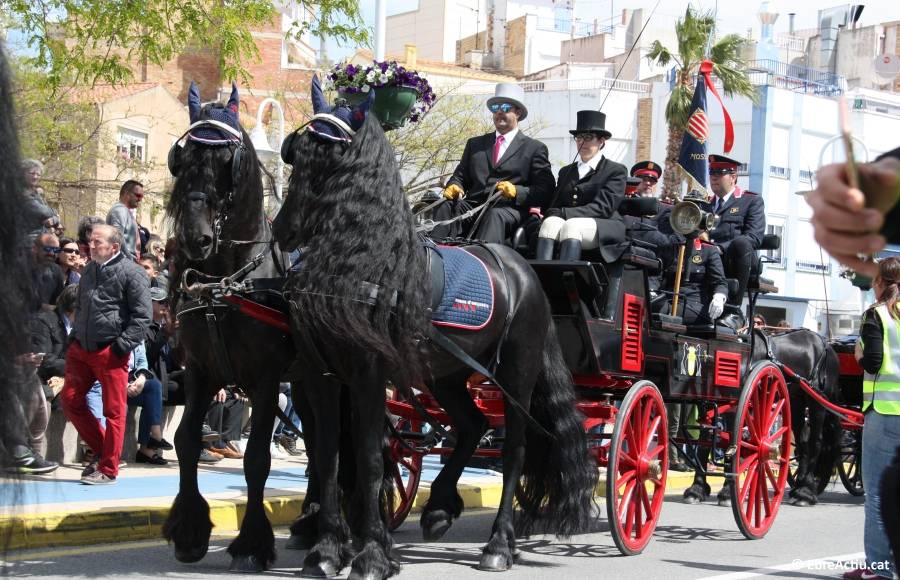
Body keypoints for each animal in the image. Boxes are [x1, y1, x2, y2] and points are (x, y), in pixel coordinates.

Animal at [159, 82, 297, 571]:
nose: (194, 238)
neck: (226, 280)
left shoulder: (267, 379)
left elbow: (256, 459)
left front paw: (252, 542)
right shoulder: (201, 371)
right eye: (182, 158)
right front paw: (188, 531)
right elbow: (185, 440)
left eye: (228, 162)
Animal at [271, 77, 597, 579]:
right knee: (471, 424)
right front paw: (325, 550)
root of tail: (525, 272)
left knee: (514, 452)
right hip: (447, 374)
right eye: (297, 152)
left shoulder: (368, 375)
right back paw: (440, 507)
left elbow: (368, 458)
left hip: (516, 375)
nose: (283, 230)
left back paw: (498, 544)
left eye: (331, 156)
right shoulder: (320, 374)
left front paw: (370, 555)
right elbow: (326, 458)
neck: (364, 262)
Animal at [682, 328, 841, 507]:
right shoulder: (709, 404)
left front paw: (727, 492)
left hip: (817, 402)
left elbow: (734, 443)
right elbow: (705, 442)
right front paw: (697, 489)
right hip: (795, 402)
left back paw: (805, 493)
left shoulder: (739, 406)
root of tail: (827, 345)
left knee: (816, 442)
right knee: (803, 443)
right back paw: (798, 488)